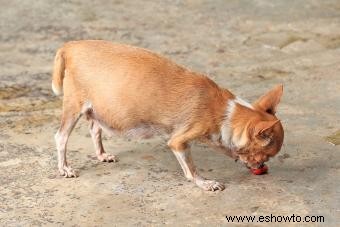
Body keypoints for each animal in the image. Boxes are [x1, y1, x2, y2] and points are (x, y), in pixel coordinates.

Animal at [51, 40, 284, 191]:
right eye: (265, 156)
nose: (261, 168)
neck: (225, 112)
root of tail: (70, 46)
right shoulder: (178, 142)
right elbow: (191, 169)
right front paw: (205, 183)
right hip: (74, 107)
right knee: (61, 137)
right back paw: (64, 168)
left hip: (100, 107)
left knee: (94, 128)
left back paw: (101, 154)